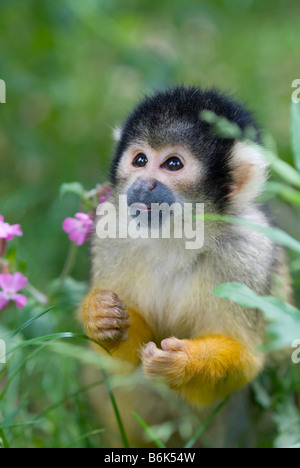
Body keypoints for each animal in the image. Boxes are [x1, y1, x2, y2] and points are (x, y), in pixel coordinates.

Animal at [81, 86, 292, 408]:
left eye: (173, 164)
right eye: (140, 160)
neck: (178, 236)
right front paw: (101, 318)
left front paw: (185, 364)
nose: (143, 184)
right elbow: (122, 365)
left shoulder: (249, 254)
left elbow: (247, 362)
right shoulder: (112, 234)